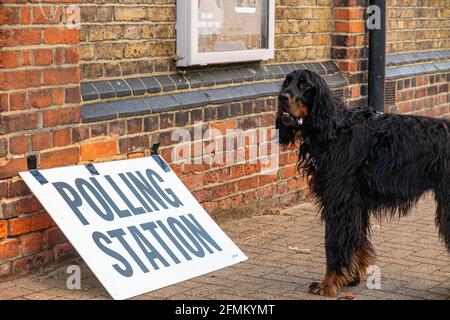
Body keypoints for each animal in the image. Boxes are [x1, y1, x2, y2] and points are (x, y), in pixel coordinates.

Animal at [276, 69, 450, 298]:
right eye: (287, 82)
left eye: (304, 85)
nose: (282, 97)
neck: (334, 129)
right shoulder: (355, 204)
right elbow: (355, 241)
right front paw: (350, 277)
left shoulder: (341, 202)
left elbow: (334, 244)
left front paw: (328, 284)